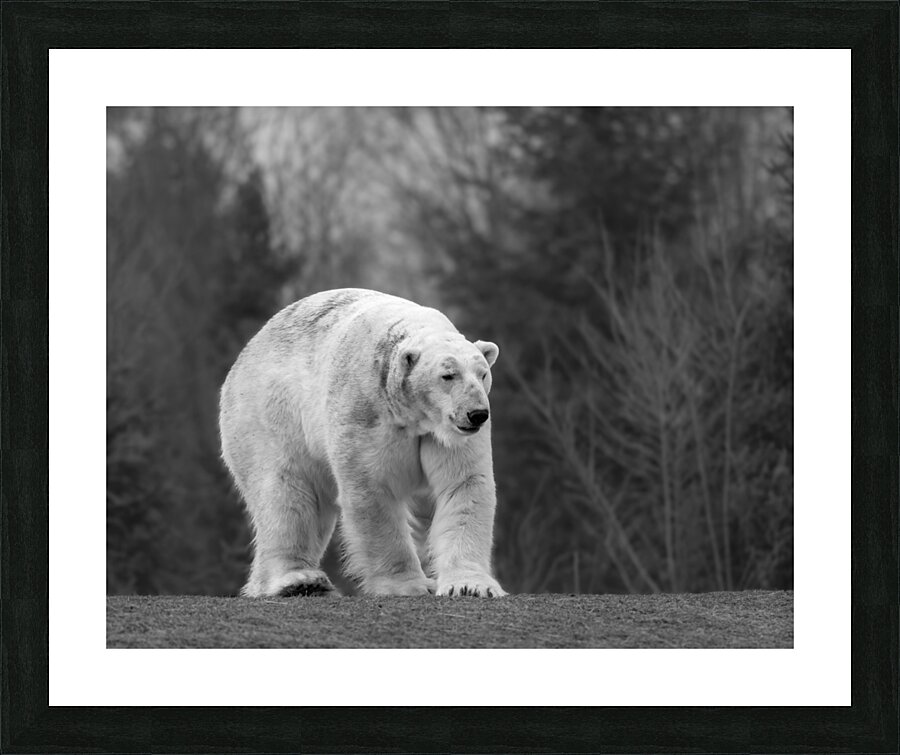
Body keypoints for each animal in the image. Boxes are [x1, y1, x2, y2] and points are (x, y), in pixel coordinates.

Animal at [219, 288, 507, 598]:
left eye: (483, 374)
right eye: (448, 375)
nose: (477, 413)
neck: (412, 415)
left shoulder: (446, 434)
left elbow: (464, 485)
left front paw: (469, 586)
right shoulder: (364, 410)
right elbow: (373, 489)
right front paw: (407, 585)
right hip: (268, 417)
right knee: (285, 493)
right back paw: (299, 580)